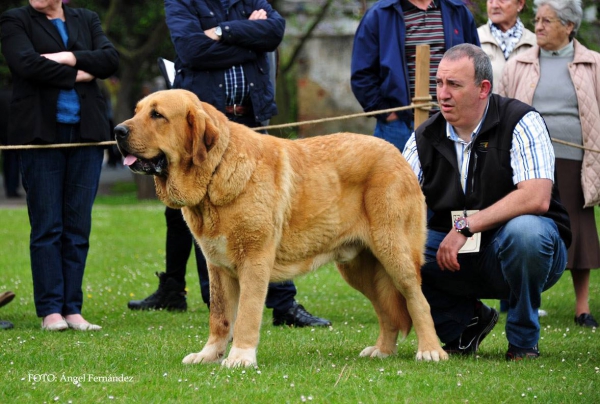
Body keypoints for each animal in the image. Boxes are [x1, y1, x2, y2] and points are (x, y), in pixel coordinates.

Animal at [115, 88, 448, 366]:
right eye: (137, 110)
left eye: (157, 115)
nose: (118, 131)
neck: (214, 173)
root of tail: (398, 155)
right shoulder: (217, 267)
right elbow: (220, 316)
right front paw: (209, 355)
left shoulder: (254, 261)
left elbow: (247, 314)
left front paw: (240, 358)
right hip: (359, 268)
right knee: (387, 310)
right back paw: (382, 350)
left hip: (395, 253)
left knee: (418, 300)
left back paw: (431, 351)